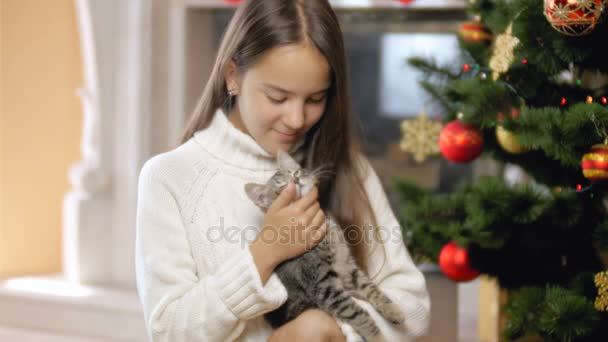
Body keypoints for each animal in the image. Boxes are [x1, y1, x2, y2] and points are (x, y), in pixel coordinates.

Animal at [245, 150, 406, 342]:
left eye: (295, 173)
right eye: (281, 189)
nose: (296, 181)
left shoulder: (348, 268)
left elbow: (372, 289)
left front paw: (393, 310)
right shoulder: (323, 284)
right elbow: (357, 313)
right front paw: (377, 337)